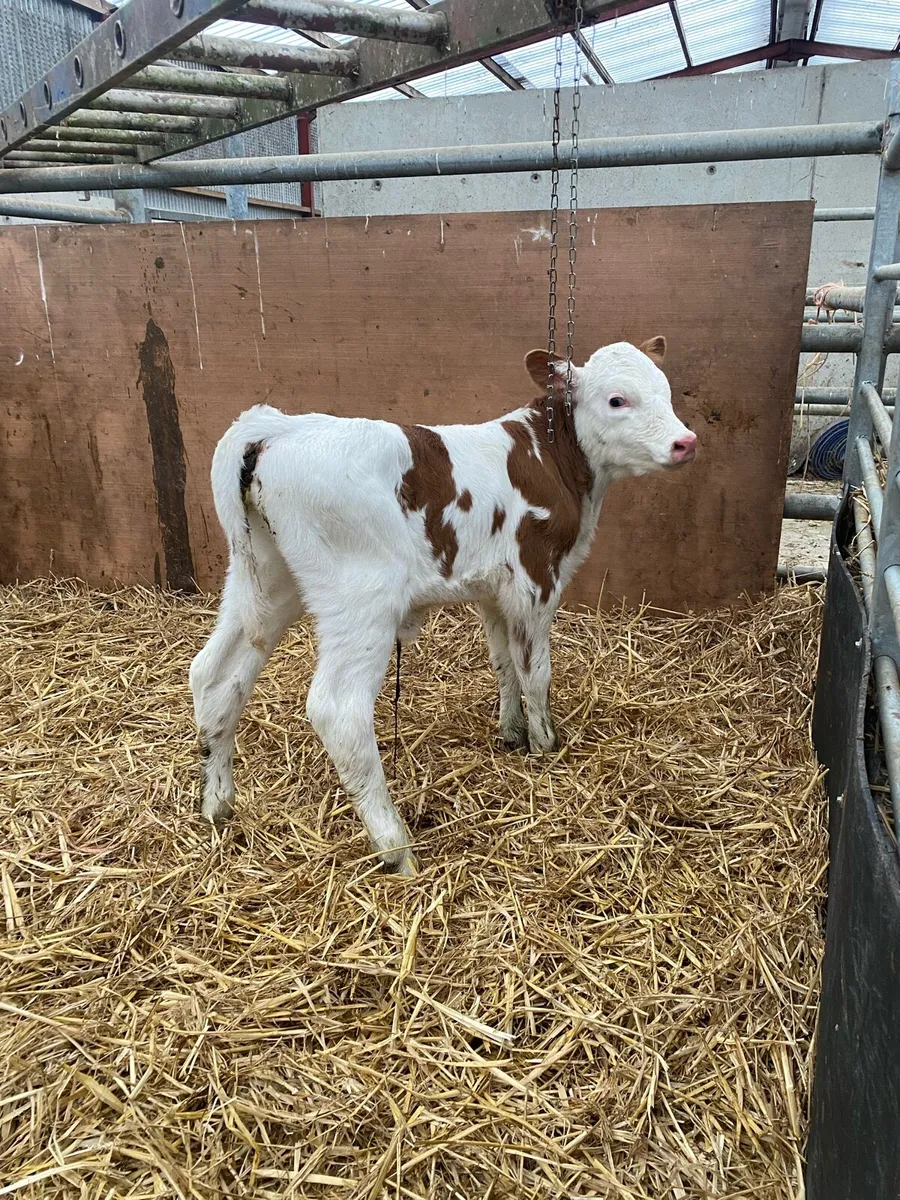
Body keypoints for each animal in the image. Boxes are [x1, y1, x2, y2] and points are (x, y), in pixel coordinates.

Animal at [189, 338, 696, 876]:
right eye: (617, 400)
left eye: (666, 392)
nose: (685, 442)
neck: (551, 458)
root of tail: (276, 428)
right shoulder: (535, 578)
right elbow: (535, 671)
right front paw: (546, 745)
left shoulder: (494, 589)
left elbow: (503, 662)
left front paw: (512, 734)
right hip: (361, 600)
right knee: (338, 710)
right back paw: (395, 848)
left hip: (264, 579)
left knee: (214, 674)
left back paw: (218, 803)